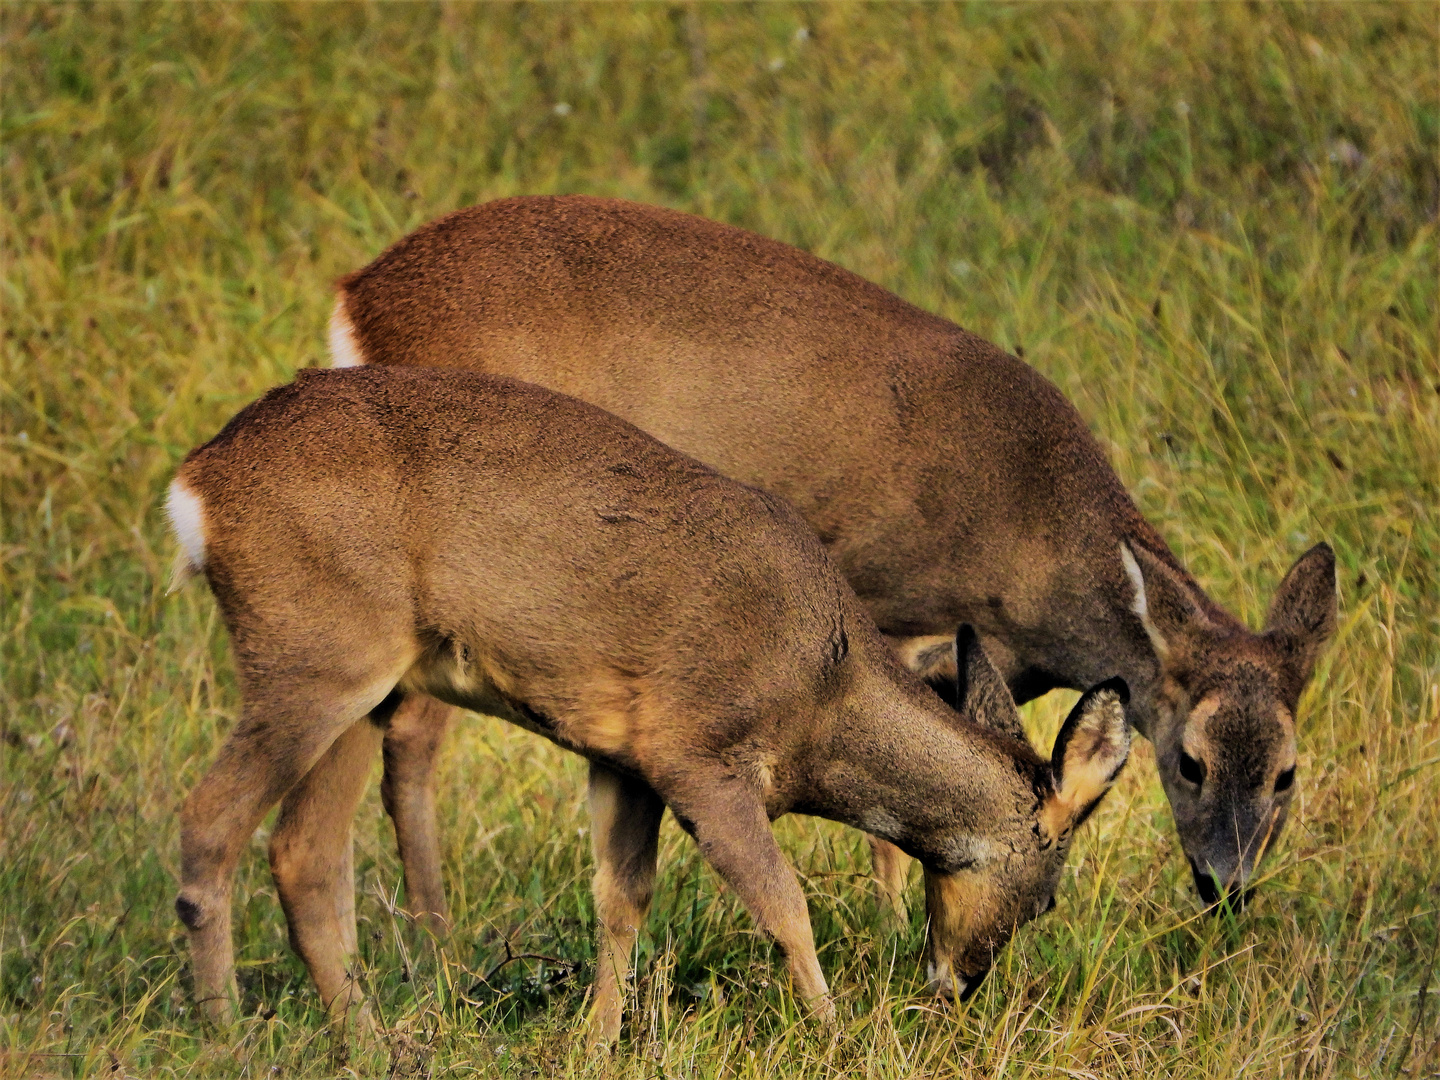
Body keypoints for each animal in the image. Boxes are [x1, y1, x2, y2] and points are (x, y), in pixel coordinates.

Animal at [171, 371, 1134, 1042]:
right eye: (1048, 898)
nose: (954, 988)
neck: (824, 696)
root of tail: (196, 483)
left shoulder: (623, 757)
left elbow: (620, 900)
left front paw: (594, 1044)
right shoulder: (698, 751)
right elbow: (783, 902)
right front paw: (837, 1037)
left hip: (360, 681)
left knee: (302, 854)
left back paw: (369, 1038)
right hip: (311, 657)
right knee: (210, 820)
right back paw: (226, 1034)